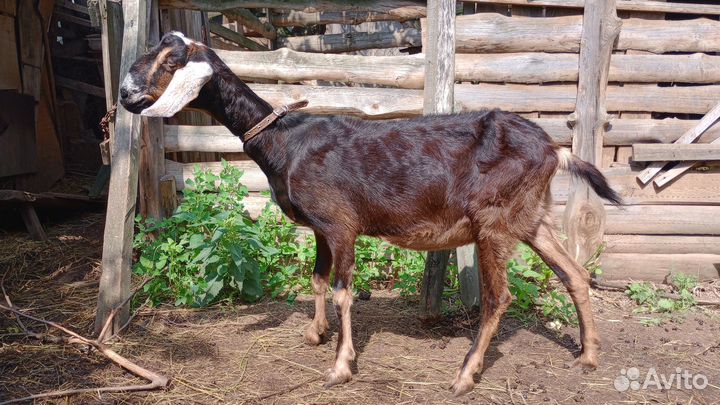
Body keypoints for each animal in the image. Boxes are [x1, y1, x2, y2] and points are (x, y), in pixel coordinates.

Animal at [120, 32, 622, 396]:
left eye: (170, 62)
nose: (125, 95)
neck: (284, 141)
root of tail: (556, 151)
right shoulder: (321, 229)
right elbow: (317, 280)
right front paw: (315, 334)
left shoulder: (342, 225)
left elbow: (344, 291)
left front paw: (341, 366)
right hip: (531, 217)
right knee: (575, 274)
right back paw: (588, 355)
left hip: (494, 223)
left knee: (499, 298)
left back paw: (465, 376)